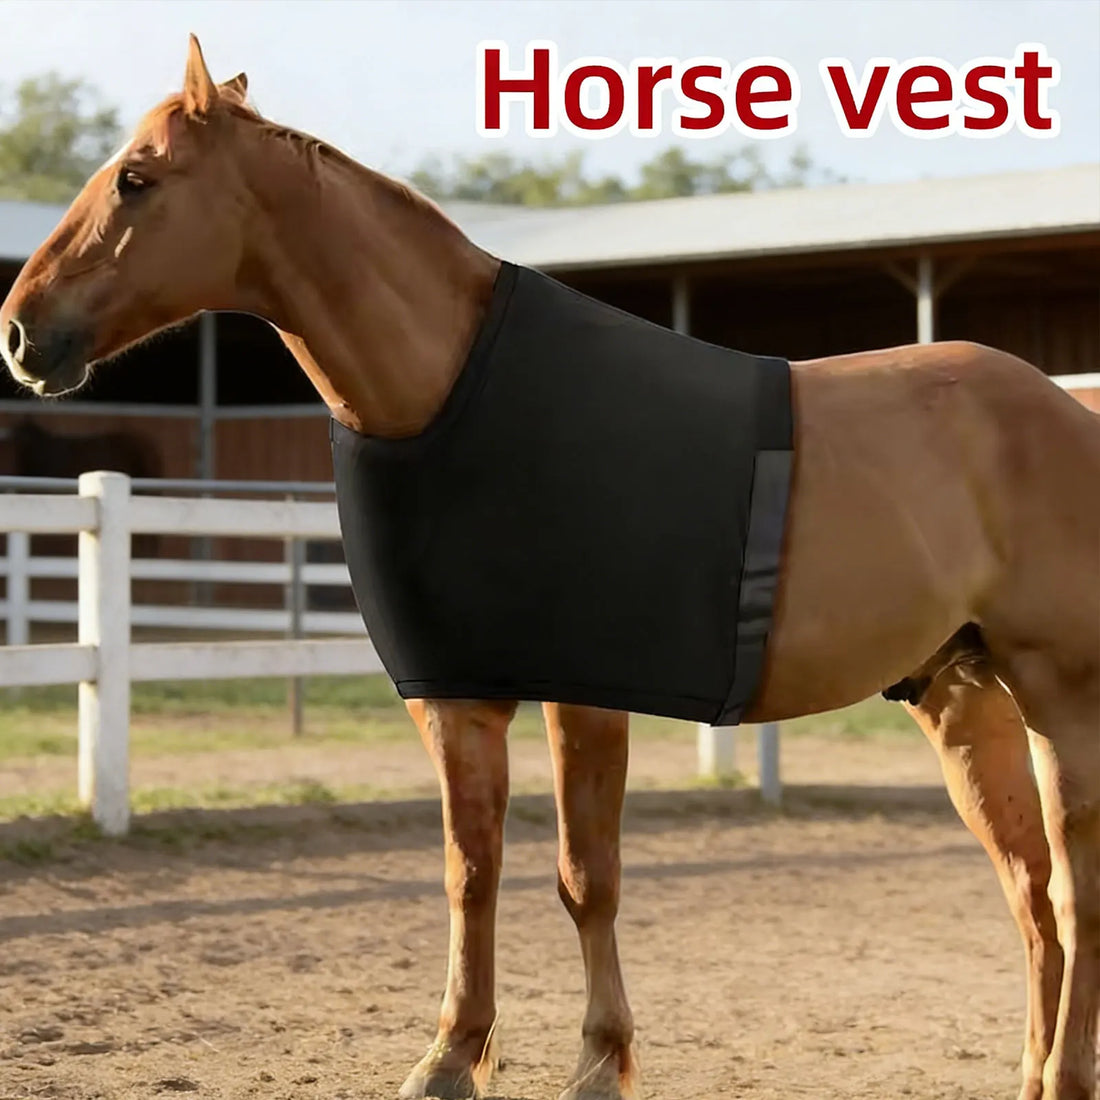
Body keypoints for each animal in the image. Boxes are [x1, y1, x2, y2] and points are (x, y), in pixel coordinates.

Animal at [1, 38, 1096, 1100]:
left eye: (136, 178)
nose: (20, 331)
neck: (453, 389)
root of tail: (1062, 409)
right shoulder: (456, 696)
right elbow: (470, 869)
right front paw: (450, 1057)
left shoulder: (584, 694)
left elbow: (586, 875)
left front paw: (599, 1061)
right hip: (966, 702)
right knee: (1031, 895)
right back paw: (1031, 1073)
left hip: (1056, 691)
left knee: (1074, 879)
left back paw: (1067, 1073)